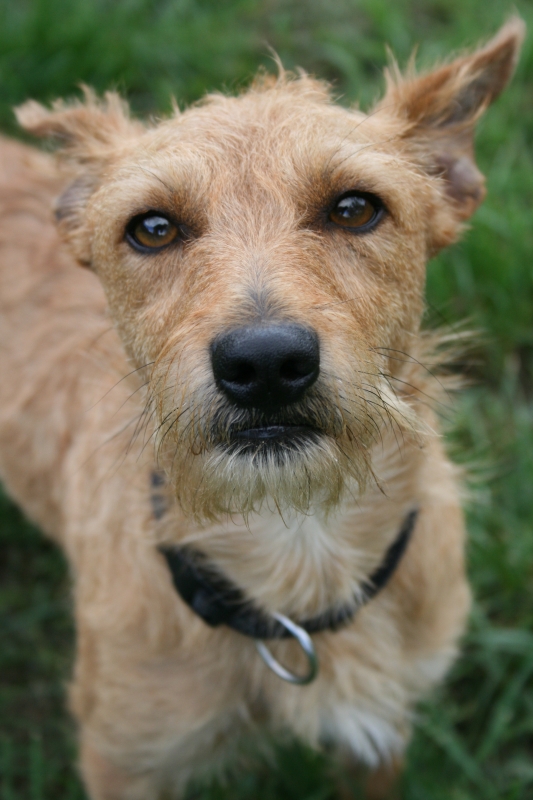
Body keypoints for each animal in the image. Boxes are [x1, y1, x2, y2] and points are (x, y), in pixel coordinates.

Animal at [0, 18, 524, 800]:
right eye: (152, 227)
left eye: (354, 208)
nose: (265, 363)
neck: (298, 544)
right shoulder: (125, 759)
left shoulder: (382, 732)